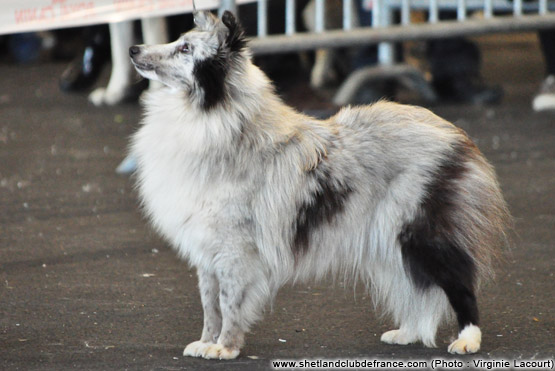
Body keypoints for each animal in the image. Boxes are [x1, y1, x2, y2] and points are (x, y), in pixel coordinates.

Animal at [128, 10, 510, 360]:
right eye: (179, 40)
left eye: (185, 48)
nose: (133, 49)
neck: (220, 120)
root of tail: (456, 134)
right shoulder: (207, 251)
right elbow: (210, 304)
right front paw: (206, 342)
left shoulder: (235, 249)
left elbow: (228, 301)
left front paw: (225, 347)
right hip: (389, 239)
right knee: (414, 286)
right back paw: (407, 332)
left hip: (419, 233)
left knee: (460, 282)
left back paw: (467, 340)